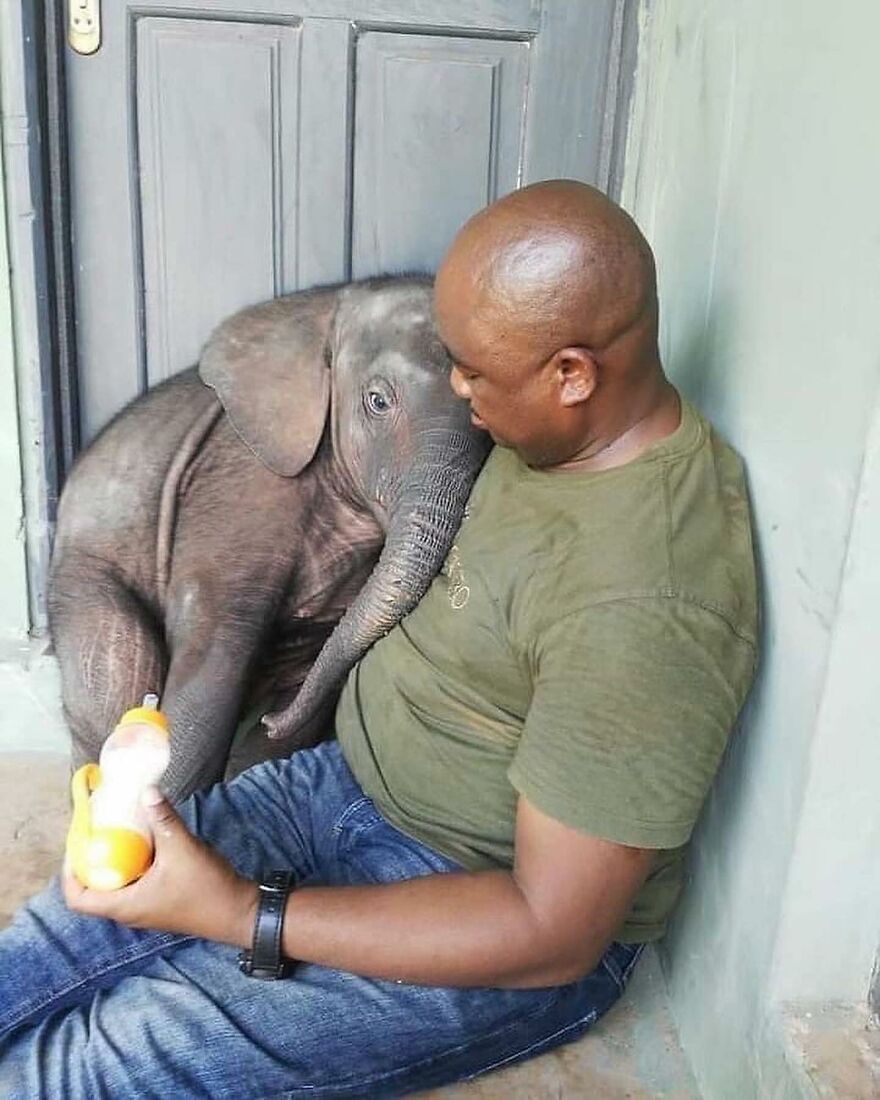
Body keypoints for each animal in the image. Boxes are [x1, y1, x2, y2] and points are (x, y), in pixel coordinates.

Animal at [48, 275, 490, 801]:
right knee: (118, 676)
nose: (273, 720)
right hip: (85, 571)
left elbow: (301, 680)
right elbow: (213, 662)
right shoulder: (239, 484)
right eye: (378, 401)